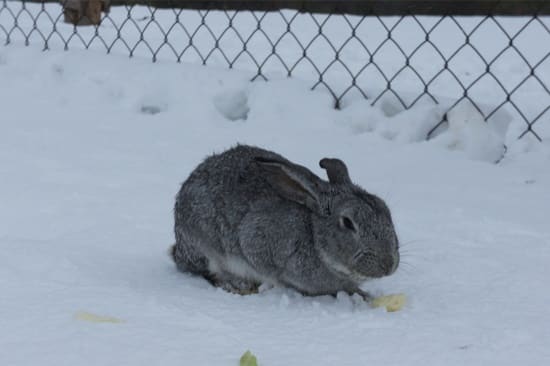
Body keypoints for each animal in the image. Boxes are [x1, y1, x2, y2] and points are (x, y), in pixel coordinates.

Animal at [172, 144, 402, 298]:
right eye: (347, 222)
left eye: (386, 210)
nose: (389, 264)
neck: (314, 235)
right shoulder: (256, 240)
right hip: (204, 244)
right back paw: (235, 285)